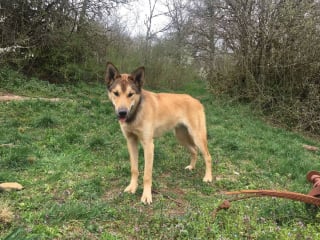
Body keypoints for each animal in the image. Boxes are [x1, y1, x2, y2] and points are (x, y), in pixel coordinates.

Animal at [106, 62, 214, 203]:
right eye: (116, 93)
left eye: (130, 94)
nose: (122, 113)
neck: (136, 112)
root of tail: (196, 101)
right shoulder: (131, 142)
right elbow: (134, 169)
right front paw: (132, 187)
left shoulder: (148, 145)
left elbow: (147, 175)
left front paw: (146, 196)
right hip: (181, 136)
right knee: (194, 151)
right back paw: (191, 167)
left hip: (197, 136)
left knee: (208, 156)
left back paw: (208, 177)